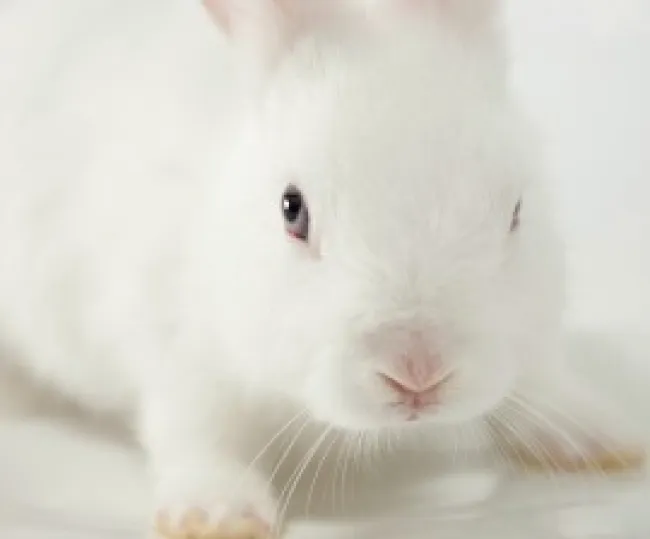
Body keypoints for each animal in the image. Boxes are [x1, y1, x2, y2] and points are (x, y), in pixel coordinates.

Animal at [0, 0, 644, 538]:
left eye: (515, 212)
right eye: (293, 209)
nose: (418, 372)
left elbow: (540, 383)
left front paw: (604, 442)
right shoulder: (177, 356)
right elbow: (197, 437)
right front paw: (216, 516)